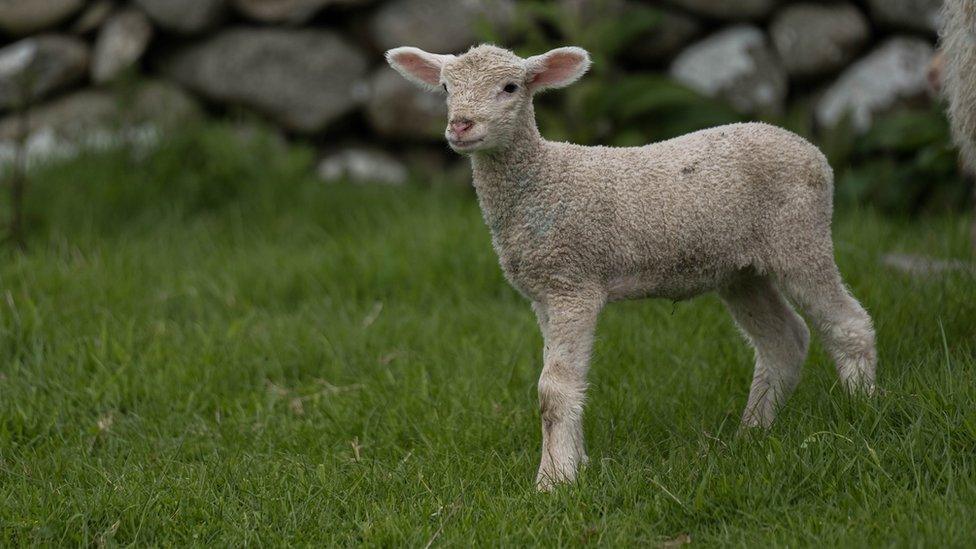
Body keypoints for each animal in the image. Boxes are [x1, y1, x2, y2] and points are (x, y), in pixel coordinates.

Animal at [384, 42, 876, 488]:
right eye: (445, 87)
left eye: (510, 88)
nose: (461, 126)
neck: (542, 178)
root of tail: (808, 147)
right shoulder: (545, 293)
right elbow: (568, 383)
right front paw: (576, 463)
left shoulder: (573, 283)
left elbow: (553, 389)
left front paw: (554, 481)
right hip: (741, 269)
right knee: (783, 341)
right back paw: (752, 432)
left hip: (800, 235)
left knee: (848, 323)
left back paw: (863, 414)